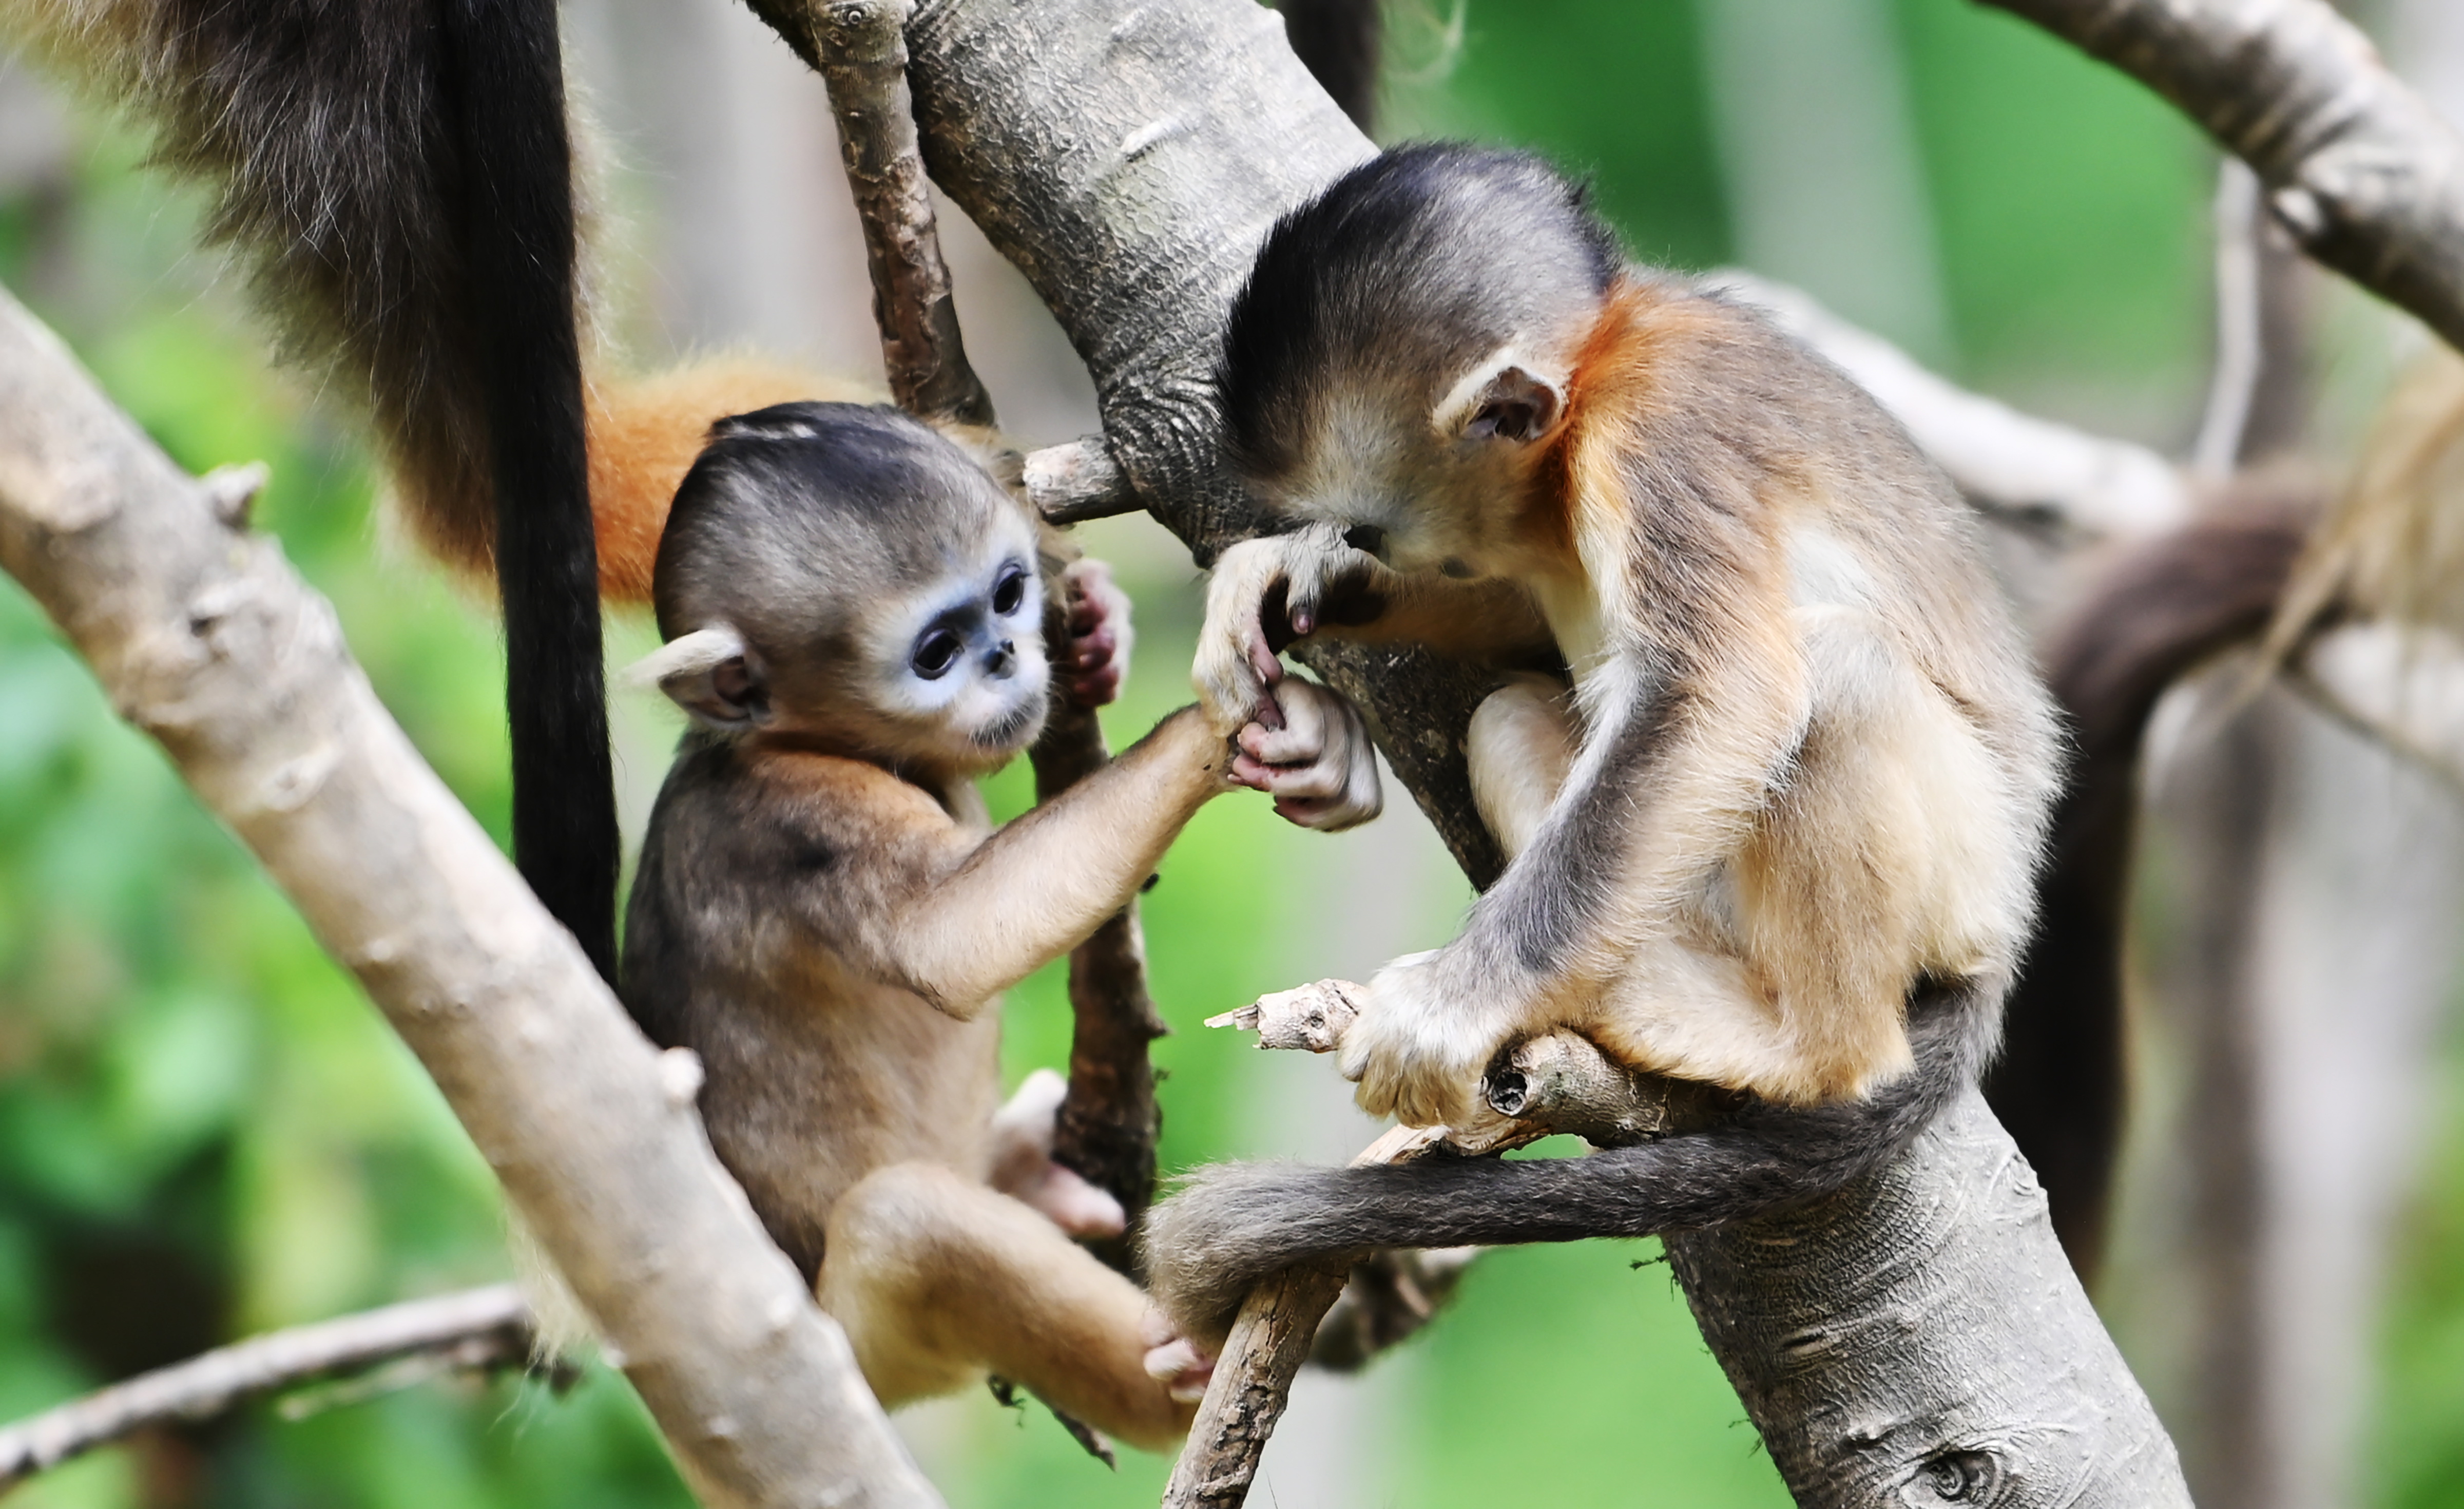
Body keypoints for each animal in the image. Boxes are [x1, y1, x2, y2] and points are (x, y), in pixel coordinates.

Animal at [616, 402, 1390, 1449]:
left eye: (1010, 595)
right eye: (937, 653)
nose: (1008, 656)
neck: (797, 741)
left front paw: (1099, 631)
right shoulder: (796, 817)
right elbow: (949, 936)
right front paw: (1215, 724)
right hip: (853, 1351)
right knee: (909, 1224)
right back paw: (1178, 1367)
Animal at [1143, 142, 2070, 1341]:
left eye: (1373, 523)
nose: (1354, 548)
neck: (1593, 386)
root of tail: (2007, 916)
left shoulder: (1661, 433)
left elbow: (1720, 692)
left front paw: (1450, 1011)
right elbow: (1512, 623)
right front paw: (1277, 580)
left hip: (1956, 859)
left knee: (1838, 673)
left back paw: (1805, 1050)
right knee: (1508, 712)